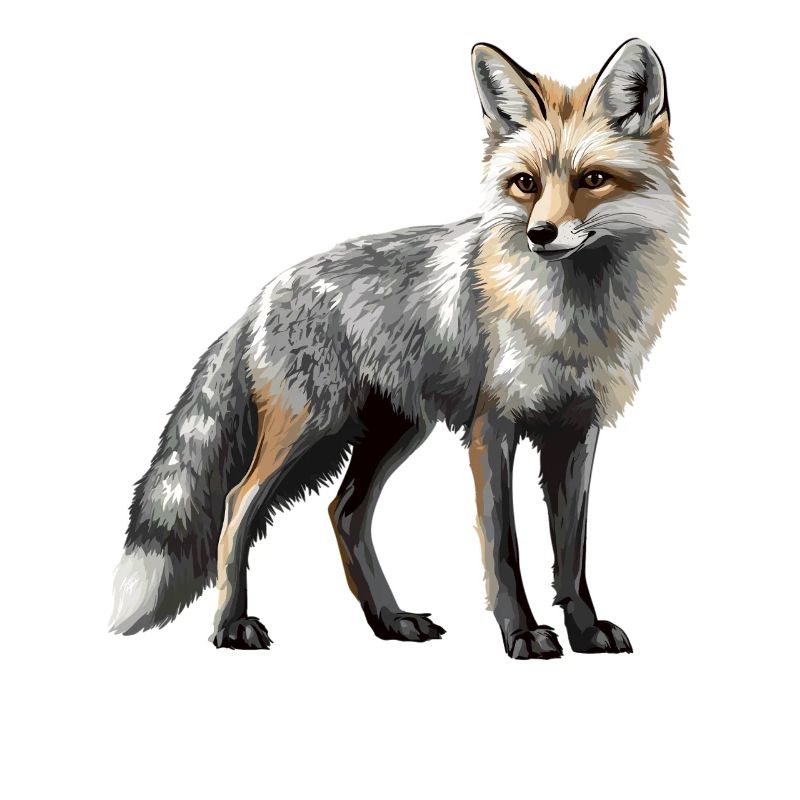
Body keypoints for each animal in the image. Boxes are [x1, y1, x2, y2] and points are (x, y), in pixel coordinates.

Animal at [111, 39, 685, 658]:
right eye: (526, 184)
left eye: (593, 178)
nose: (540, 234)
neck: (572, 319)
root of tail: (261, 296)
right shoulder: (492, 427)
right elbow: (503, 550)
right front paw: (522, 633)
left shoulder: (576, 429)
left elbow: (570, 552)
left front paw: (586, 630)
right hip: (309, 427)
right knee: (237, 507)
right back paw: (229, 626)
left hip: (394, 431)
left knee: (344, 513)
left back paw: (389, 620)